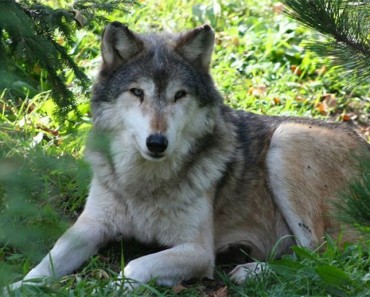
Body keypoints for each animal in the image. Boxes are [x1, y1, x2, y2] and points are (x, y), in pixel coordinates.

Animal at [6, 22, 370, 290]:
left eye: (179, 95)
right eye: (137, 92)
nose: (157, 142)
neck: (143, 184)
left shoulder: (197, 251)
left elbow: (134, 266)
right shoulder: (89, 228)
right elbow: (47, 261)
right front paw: (17, 286)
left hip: (286, 141)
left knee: (323, 257)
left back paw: (250, 271)